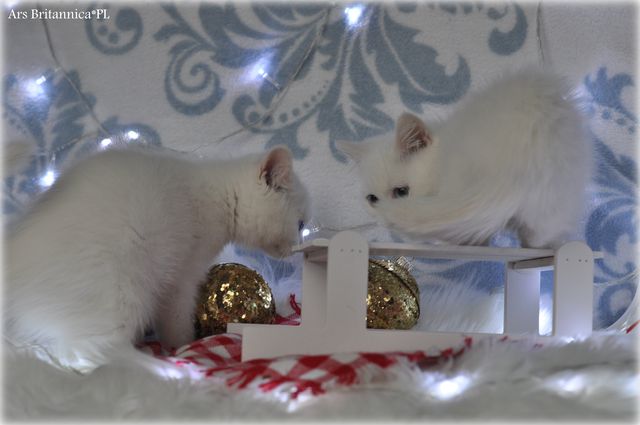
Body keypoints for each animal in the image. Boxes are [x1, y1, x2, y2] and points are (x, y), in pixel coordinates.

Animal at [4, 144, 309, 372]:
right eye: (301, 224)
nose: (297, 248)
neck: (219, 197)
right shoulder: (182, 278)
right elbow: (177, 322)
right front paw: (184, 346)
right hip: (121, 289)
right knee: (86, 351)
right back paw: (156, 368)